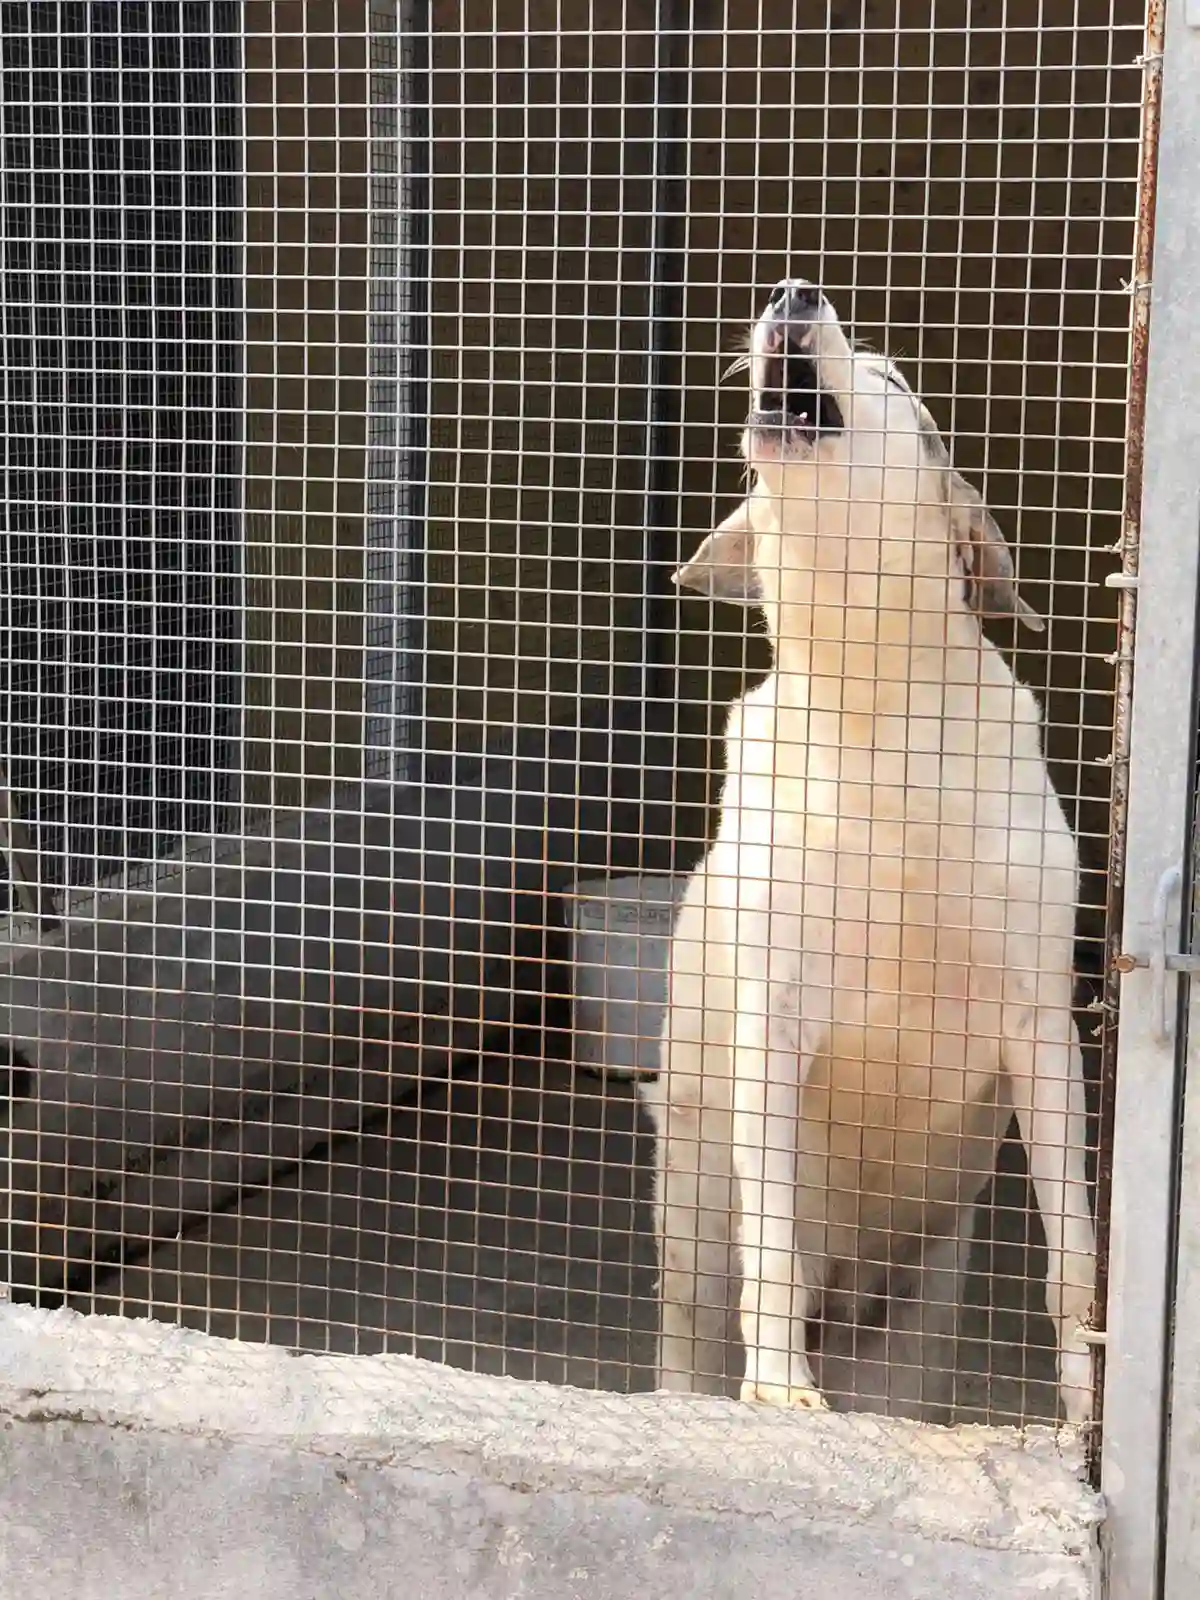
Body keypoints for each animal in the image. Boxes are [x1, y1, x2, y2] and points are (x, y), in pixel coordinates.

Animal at [643, 278, 1107, 1427]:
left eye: (894, 378)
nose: (792, 290)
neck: (872, 701)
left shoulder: (1042, 1032)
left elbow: (1074, 1262)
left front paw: (1083, 1419)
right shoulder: (772, 1024)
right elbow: (773, 1247)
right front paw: (779, 1391)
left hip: (916, 1329)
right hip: (692, 1221)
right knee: (703, 1321)